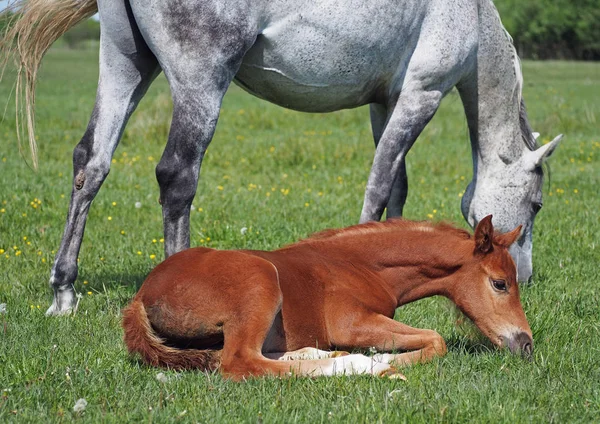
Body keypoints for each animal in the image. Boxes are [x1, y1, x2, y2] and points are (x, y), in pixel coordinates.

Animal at [120, 217, 528, 380]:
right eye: (500, 283)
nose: (525, 344)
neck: (360, 264)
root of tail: (141, 294)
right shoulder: (351, 323)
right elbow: (436, 339)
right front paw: (383, 359)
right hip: (260, 281)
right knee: (238, 362)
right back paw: (359, 365)